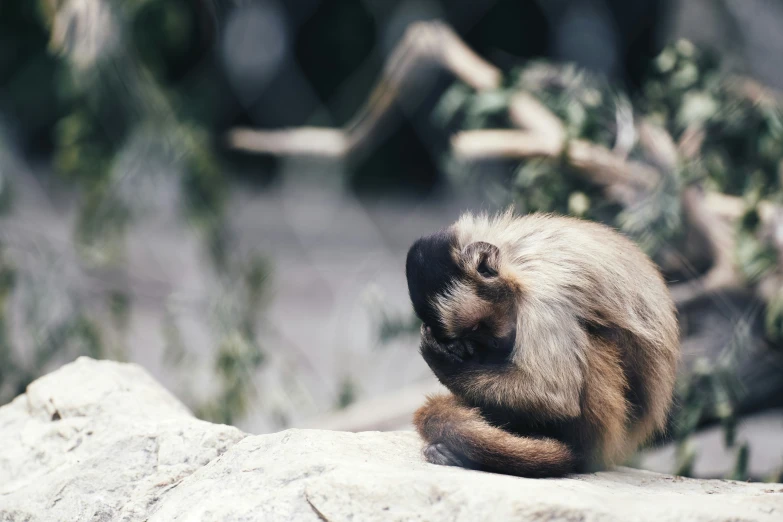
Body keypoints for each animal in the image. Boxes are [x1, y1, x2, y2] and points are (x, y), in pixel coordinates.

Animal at [404, 208, 680, 476]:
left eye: (478, 326)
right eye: (468, 335)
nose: (491, 345)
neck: (512, 259)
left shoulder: (546, 294)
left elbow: (554, 395)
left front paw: (441, 361)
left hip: (606, 438)